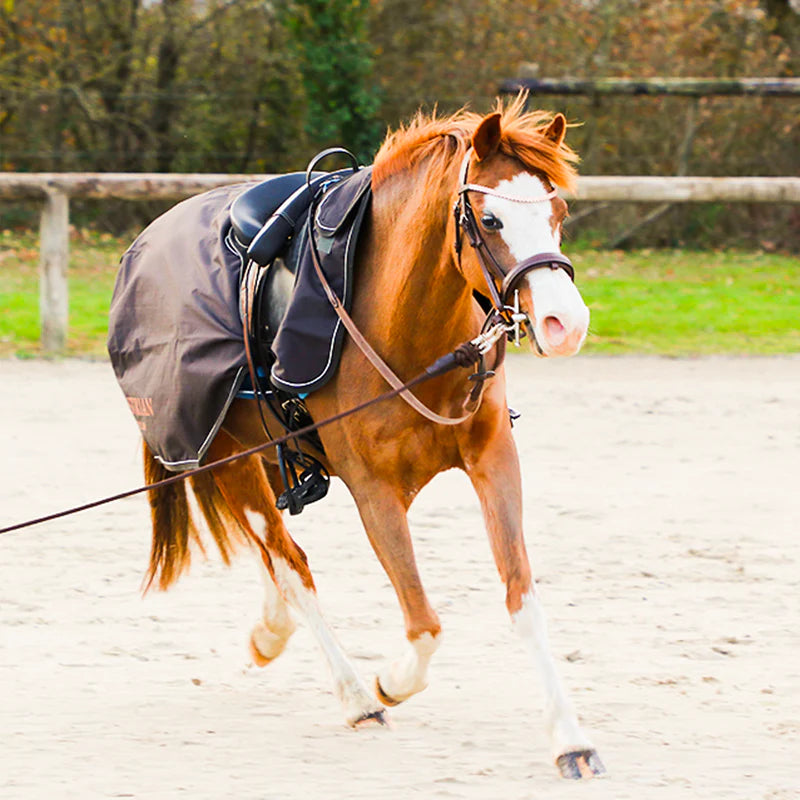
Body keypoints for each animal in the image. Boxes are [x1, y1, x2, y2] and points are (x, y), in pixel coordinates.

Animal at [134, 95, 604, 780]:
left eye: (558, 212)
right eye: (489, 218)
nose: (564, 322)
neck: (408, 326)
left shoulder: (493, 459)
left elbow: (522, 599)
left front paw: (569, 738)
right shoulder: (374, 490)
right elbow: (425, 624)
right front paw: (389, 684)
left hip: (268, 460)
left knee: (271, 557)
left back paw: (270, 633)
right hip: (227, 460)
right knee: (290, 562)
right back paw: (356, 695)